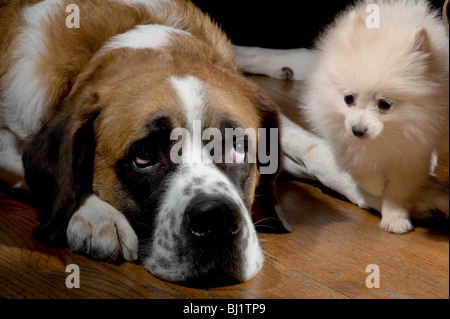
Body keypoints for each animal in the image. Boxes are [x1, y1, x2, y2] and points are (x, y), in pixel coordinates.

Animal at [300, 0, 448, 235]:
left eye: (384, 105)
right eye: (348, 99)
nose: (358, 130)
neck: (386, 134)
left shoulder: (411, 155)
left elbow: (398, 191)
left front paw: (395, 219)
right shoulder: (342, 136)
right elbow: (359, 164)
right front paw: (375, 186)